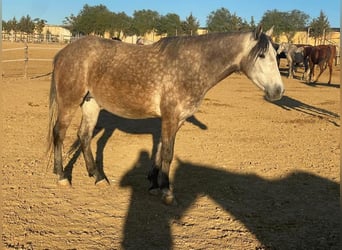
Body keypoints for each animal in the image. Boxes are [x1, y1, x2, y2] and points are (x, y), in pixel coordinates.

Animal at [46, 25, 284, 204]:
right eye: (262, 55)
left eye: (276, 54)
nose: (278, 91)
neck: (191, 66)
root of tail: (63, 53)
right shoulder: (171, 116)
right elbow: (168, 153)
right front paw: (167, 192)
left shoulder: (175, 120)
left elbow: (161, 152)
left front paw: (154, 185)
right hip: (69, 103)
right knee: (59, 133)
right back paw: (61, 176)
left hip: (91, 104)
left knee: (84, 136)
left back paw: (97, 176)